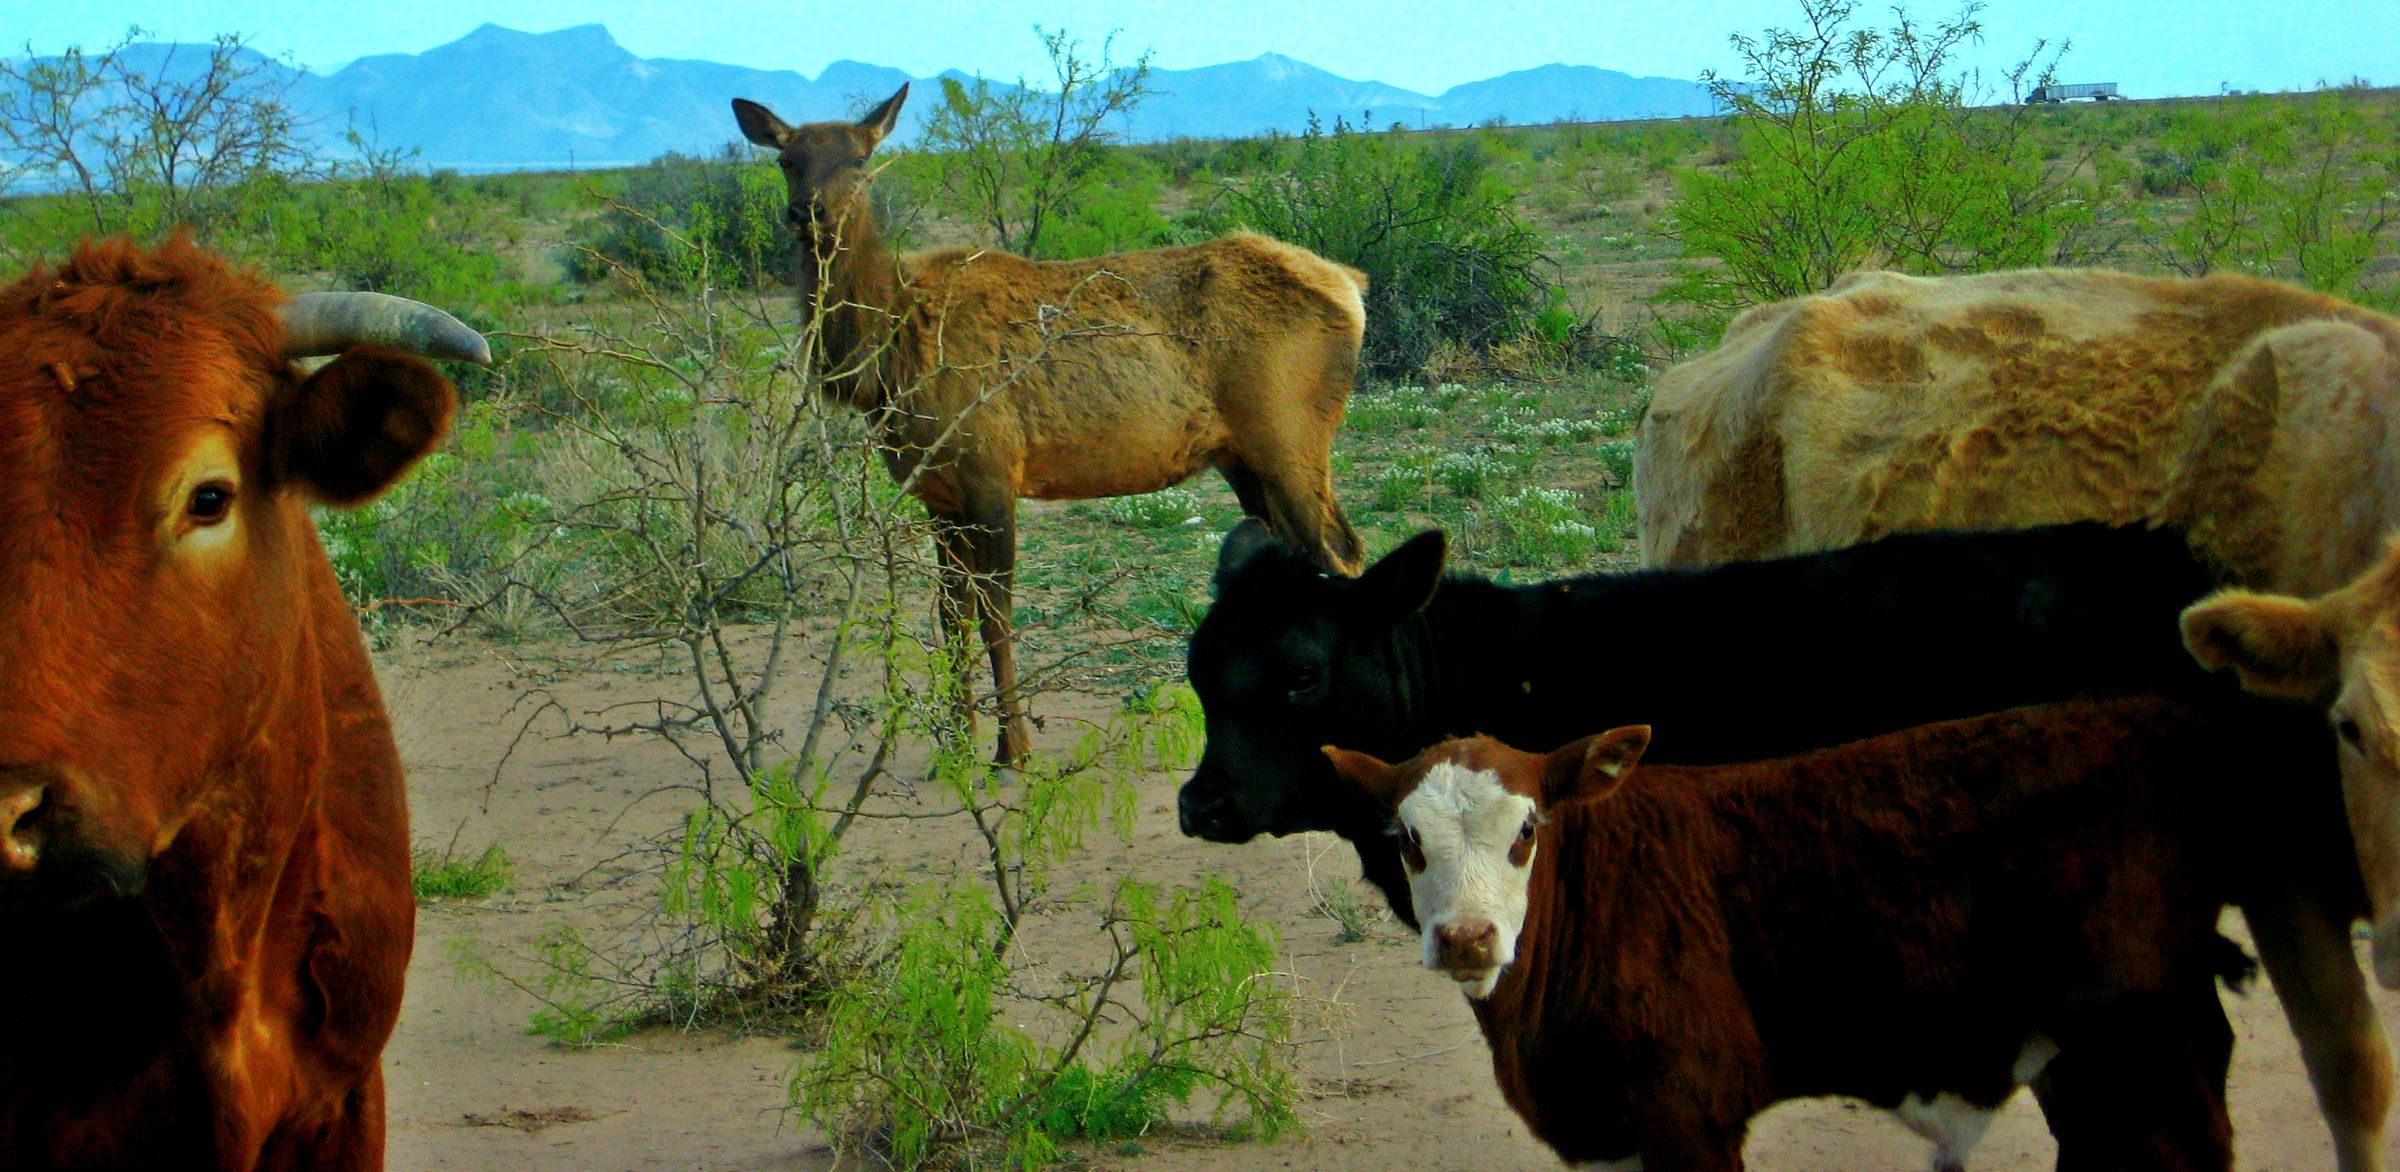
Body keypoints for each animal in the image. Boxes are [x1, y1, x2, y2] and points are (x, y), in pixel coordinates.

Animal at [729, 82, 1372, 758]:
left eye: (860, 159)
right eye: (788, 160)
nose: (808, 212)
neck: (887, 359)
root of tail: (1351, 286)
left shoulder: (990, 473)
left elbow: (996, 616)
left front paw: (1011, 749)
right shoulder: (936, 493)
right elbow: (950, 617)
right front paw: (956, 747)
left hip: (1290, 438)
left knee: (1341, 553)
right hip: (1242, 459)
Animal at [1324, 696, 2352, 1172]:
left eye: (1528, 829)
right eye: (1405, 840)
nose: (1467, 939)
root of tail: (2160, 722)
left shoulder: (1688, 1112)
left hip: (2145, 1037)